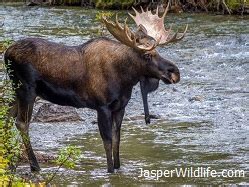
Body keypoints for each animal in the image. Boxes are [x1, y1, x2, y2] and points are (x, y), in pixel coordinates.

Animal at [4, 4, 187, 173]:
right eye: (148, 55)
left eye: (158, 51)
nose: (175, 72)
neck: (125, 78)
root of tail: (6, 53)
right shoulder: (102, 106)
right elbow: (107, 141)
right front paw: (110, 170)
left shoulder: (120, 107)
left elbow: (117, 139)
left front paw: (118, 167)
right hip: (26, 89)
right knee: (21, 123)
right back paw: (34, 165)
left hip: (17, 90)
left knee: (7, 115)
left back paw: (10, 163)